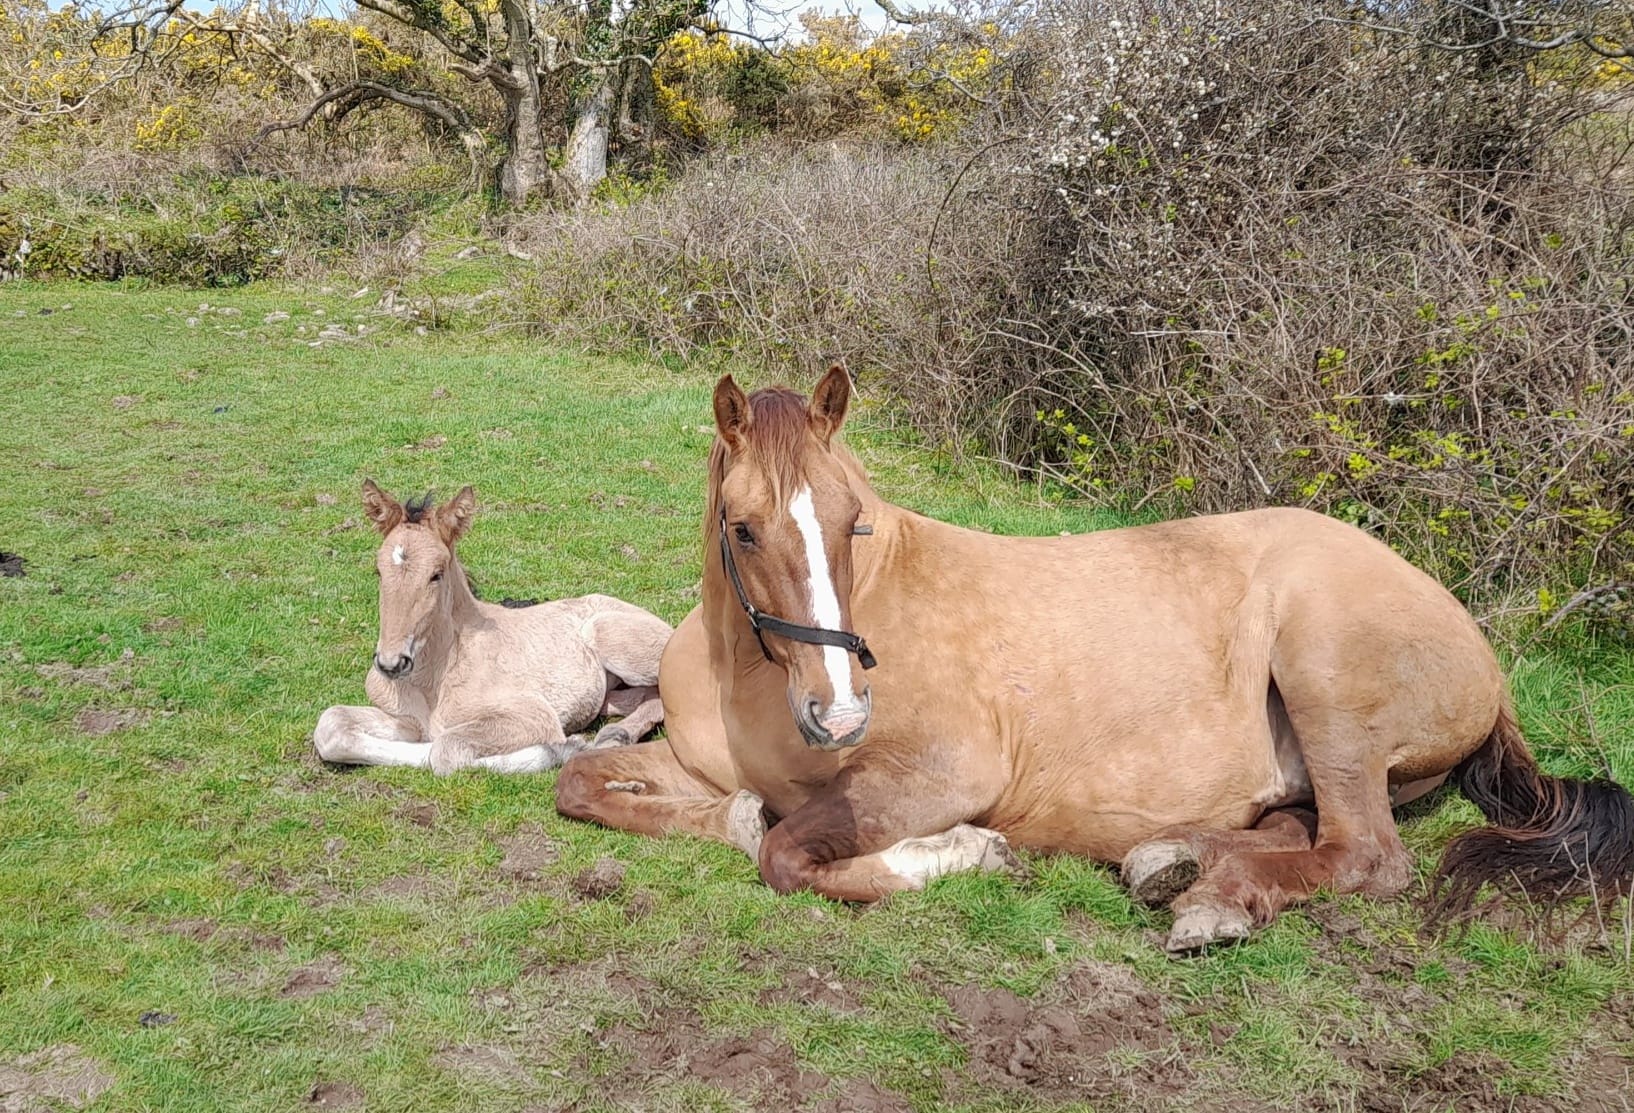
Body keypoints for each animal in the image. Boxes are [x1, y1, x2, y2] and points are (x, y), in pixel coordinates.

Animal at [315, 480, 673, 777]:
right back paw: (614, 734)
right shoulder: (404, 718)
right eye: (378, 571)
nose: (391, 663)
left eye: (436, 574)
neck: (436, 678)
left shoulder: (533, 715)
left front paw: (563, 749)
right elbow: (331, 725)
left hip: (613, 638)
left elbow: (445, 749)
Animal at [555, 369, 1627, 947]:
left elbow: (787, 854)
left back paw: (1211, 905)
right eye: (742, 528)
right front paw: (731, 812)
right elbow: (585, 784)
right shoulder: (689, 761)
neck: (753, 682)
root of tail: (1481, 654)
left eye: (854, 521)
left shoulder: (944, 773)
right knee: (1300, 828)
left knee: (1364, 854)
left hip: (1325, 681)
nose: (841, 710)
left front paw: (957, 853)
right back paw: (1175, 864)